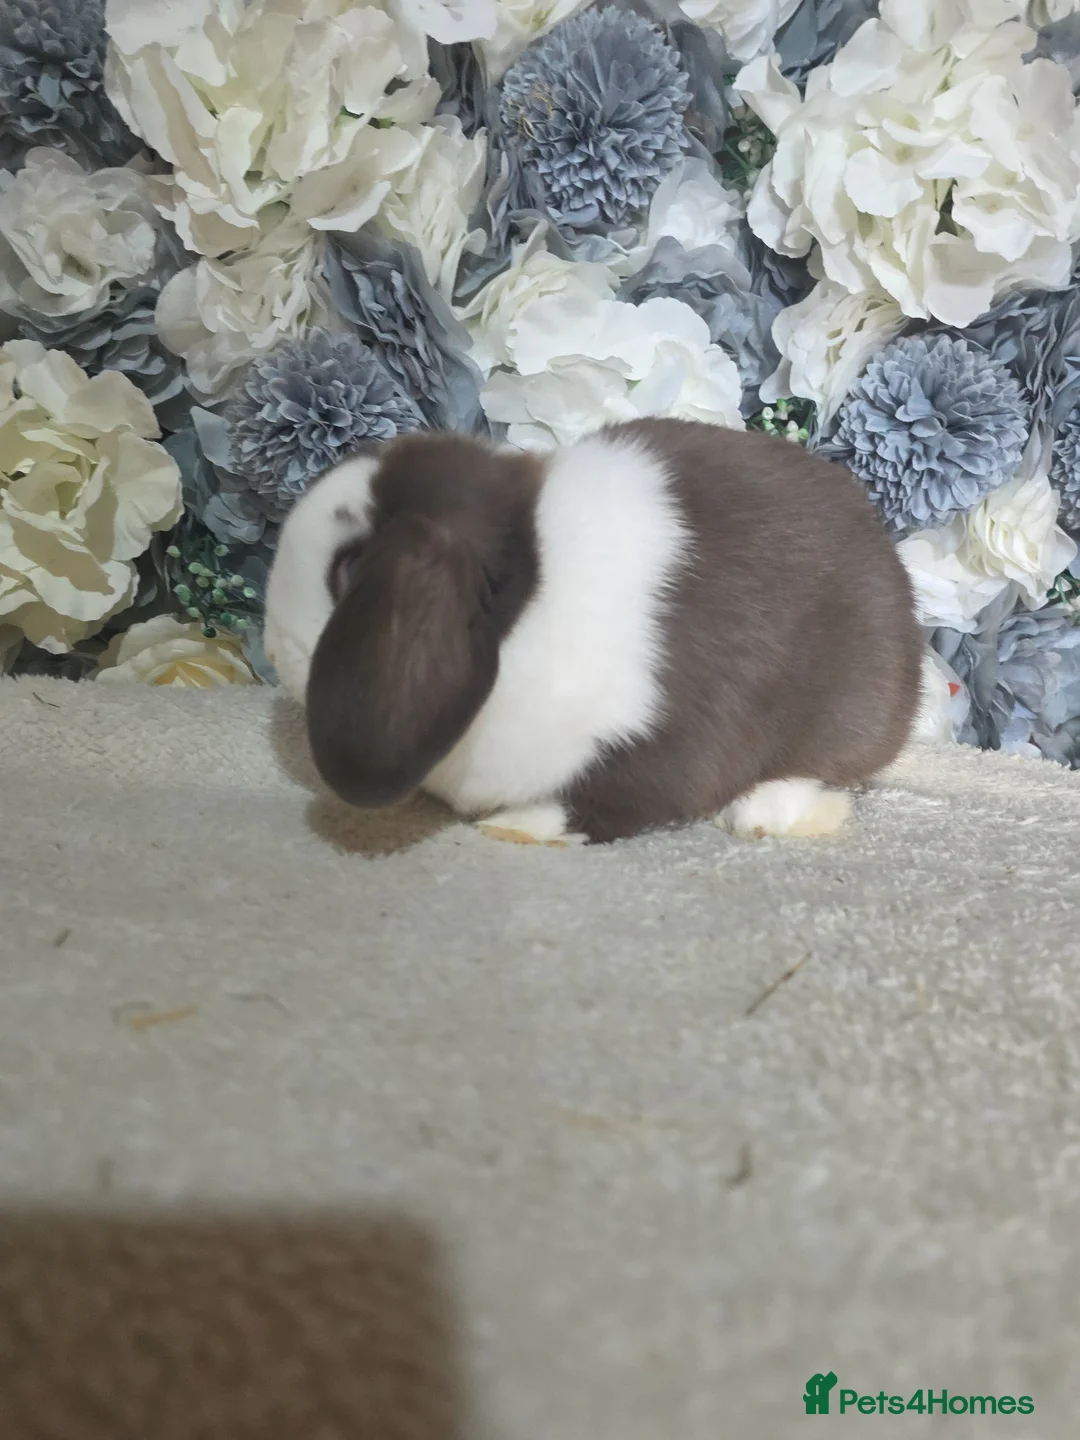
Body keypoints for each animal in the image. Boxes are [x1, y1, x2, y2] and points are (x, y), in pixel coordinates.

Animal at [264, 419, 924, 845]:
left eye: (350, 570)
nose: (273, 647)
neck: (525, 603)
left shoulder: (650, 749)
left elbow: (599, 808)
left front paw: (519, 826)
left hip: (849, 712)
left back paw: (758, 815)